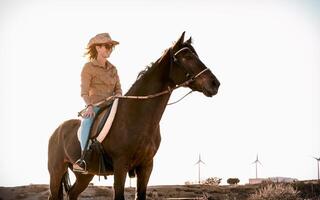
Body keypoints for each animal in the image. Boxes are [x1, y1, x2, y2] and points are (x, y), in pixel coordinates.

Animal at [48, 32, 220, 199]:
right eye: (187, 57)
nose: (215, 83)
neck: (136, 116)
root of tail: (57, 131)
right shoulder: (120, 165)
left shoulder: (146, 166)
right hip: (56, 172)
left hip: (85, 175)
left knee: (72, 193)